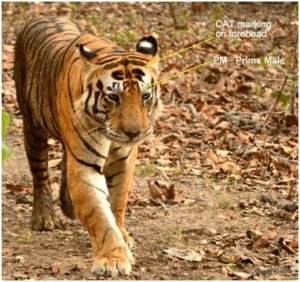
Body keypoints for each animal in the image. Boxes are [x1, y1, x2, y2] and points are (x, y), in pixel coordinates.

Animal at [14, 16, 162, 276]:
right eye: (113, 97)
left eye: (145, 96)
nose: (133, 133)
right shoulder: (84, 166)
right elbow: (99, 215)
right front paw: (113, 259)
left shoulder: (124, 160)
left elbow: (117, 202)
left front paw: (123, 237)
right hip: (33, 126)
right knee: (40, 173)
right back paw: (44, 217)